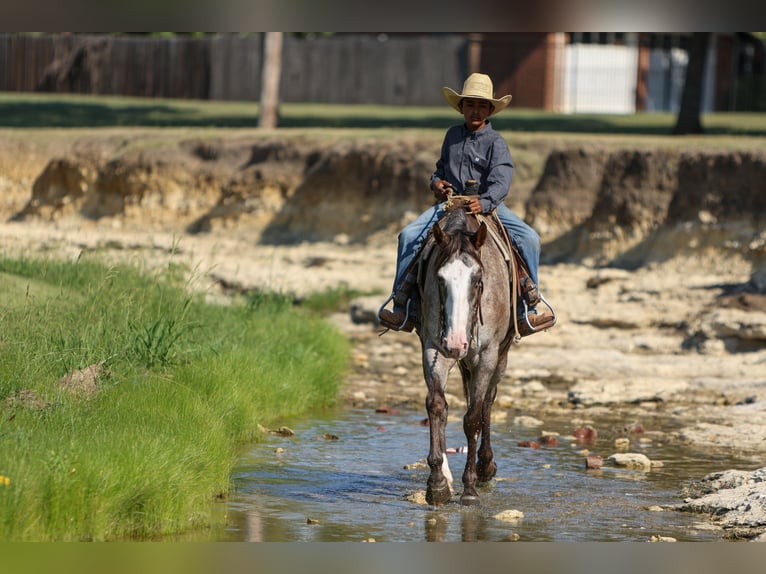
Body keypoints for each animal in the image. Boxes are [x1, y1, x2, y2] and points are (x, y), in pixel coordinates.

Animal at [416, 207, 520, 508]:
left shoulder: (487, 355)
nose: (456, 342)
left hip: (499, 357)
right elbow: (437, 406)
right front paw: (438, 484)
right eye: (440, 279)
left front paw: (470, 488)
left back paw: (485, 466)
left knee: (487, 402)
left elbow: (473, 417)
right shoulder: (433, 347)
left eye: (477, 280)